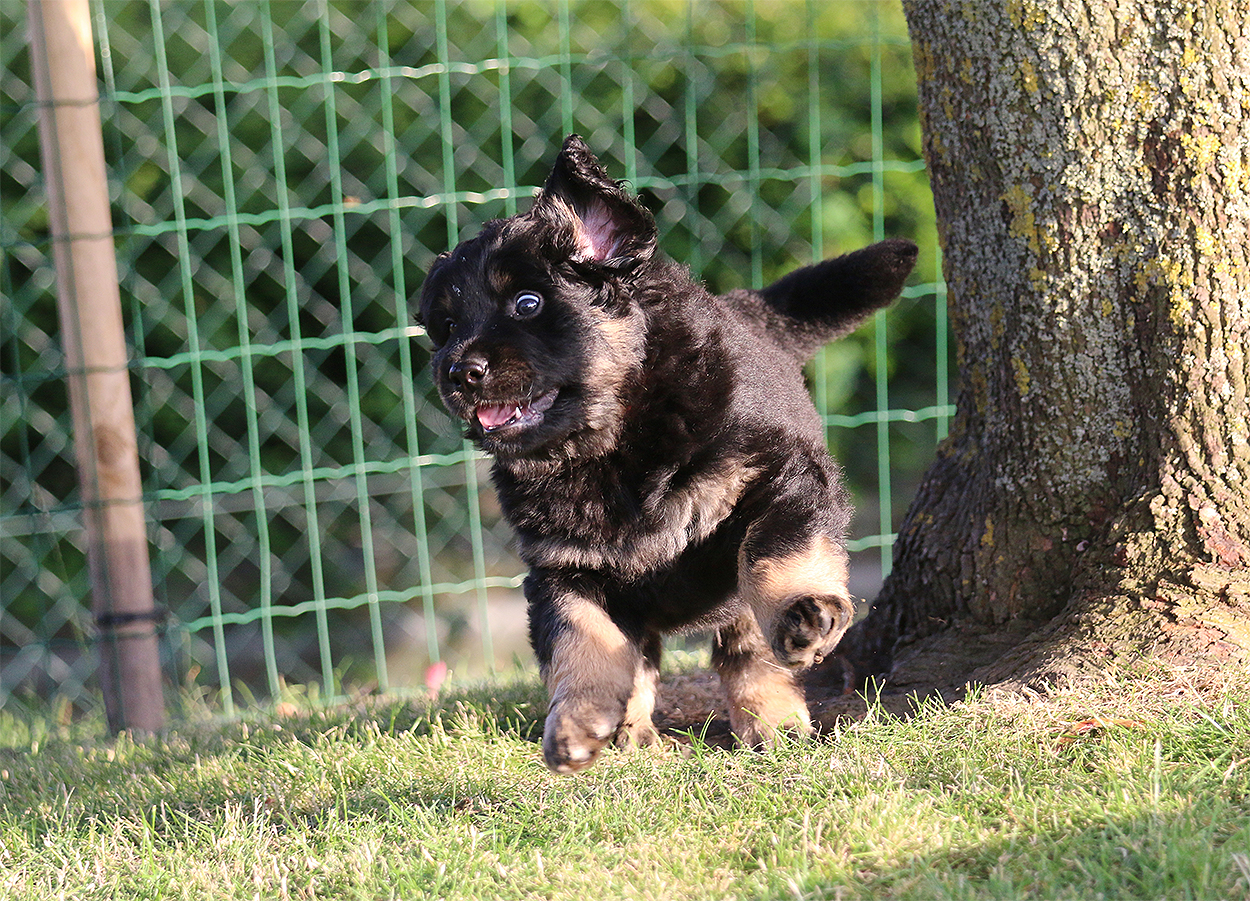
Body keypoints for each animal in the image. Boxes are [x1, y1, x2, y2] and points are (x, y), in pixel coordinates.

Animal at [418, 135, 916, 772]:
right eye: (446, 328)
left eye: (528, 303)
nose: (458, 372)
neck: (612, 443)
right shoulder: (561, 565)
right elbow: (581, 639)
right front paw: (575, 722)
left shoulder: (785, 474)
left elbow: (774, 550)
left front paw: (808, 614)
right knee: (651, 658)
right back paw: (636, 734)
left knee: (746, 648)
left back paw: (773, 723)